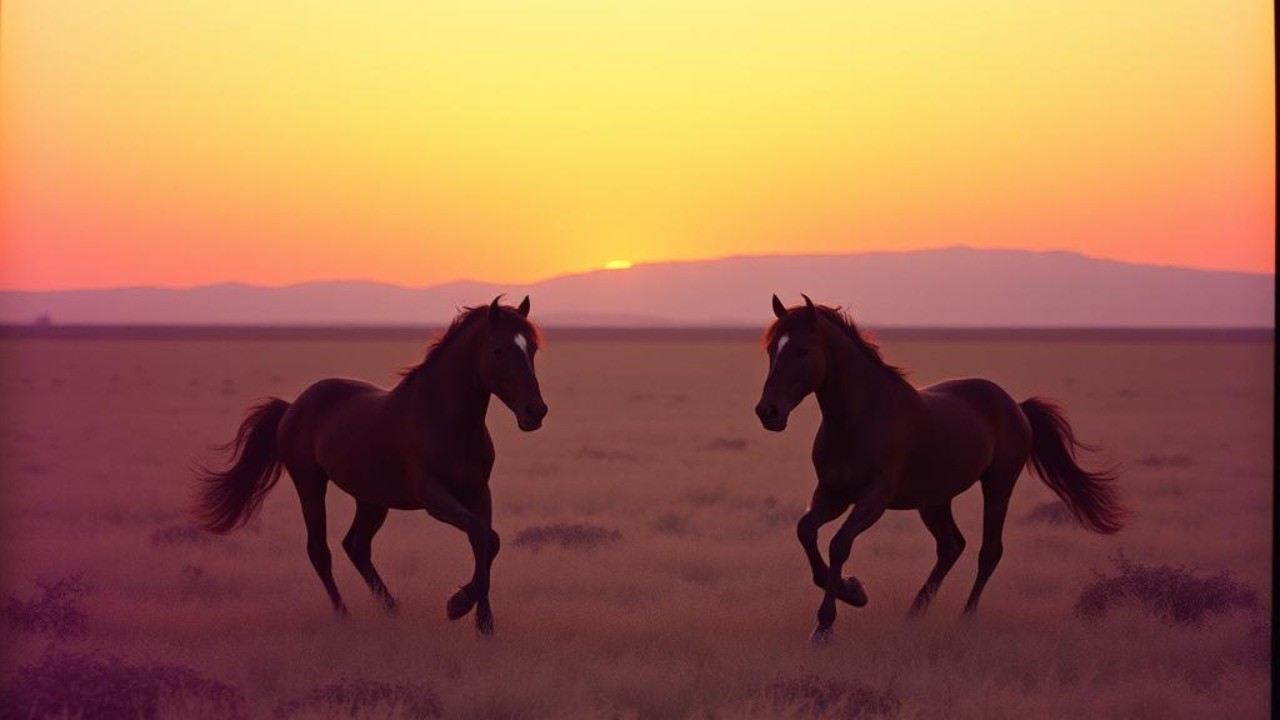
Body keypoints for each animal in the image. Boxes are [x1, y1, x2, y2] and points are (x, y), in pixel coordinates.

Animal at [194, 296, 548, 637]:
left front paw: (483, 622)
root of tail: (293, 405)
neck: (446, 420)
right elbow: (481, 534)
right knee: (320, 550)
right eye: (498, 350)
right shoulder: (434, 497)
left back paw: (392, 608)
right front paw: (457, 604)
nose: (535, 412)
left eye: (532, 348)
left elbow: (488, 541)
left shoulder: (478, 492)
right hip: (310, 483)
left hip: (371, 500)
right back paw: (344, 615)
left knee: (357, 546)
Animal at [754, 295, 1124, 643]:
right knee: (950, 546)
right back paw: (914, 615)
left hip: (998, 484)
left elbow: (839, 544)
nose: (768, 412)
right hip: (934, 500)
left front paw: (827, 623)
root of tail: (1015, 406)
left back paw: (965, 618)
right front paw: (853, 592)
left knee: (989, 550)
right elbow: (806, 531)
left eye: (801, 351)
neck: (858, 419)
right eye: (772, 349)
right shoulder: (832, 494)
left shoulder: (874, 498)